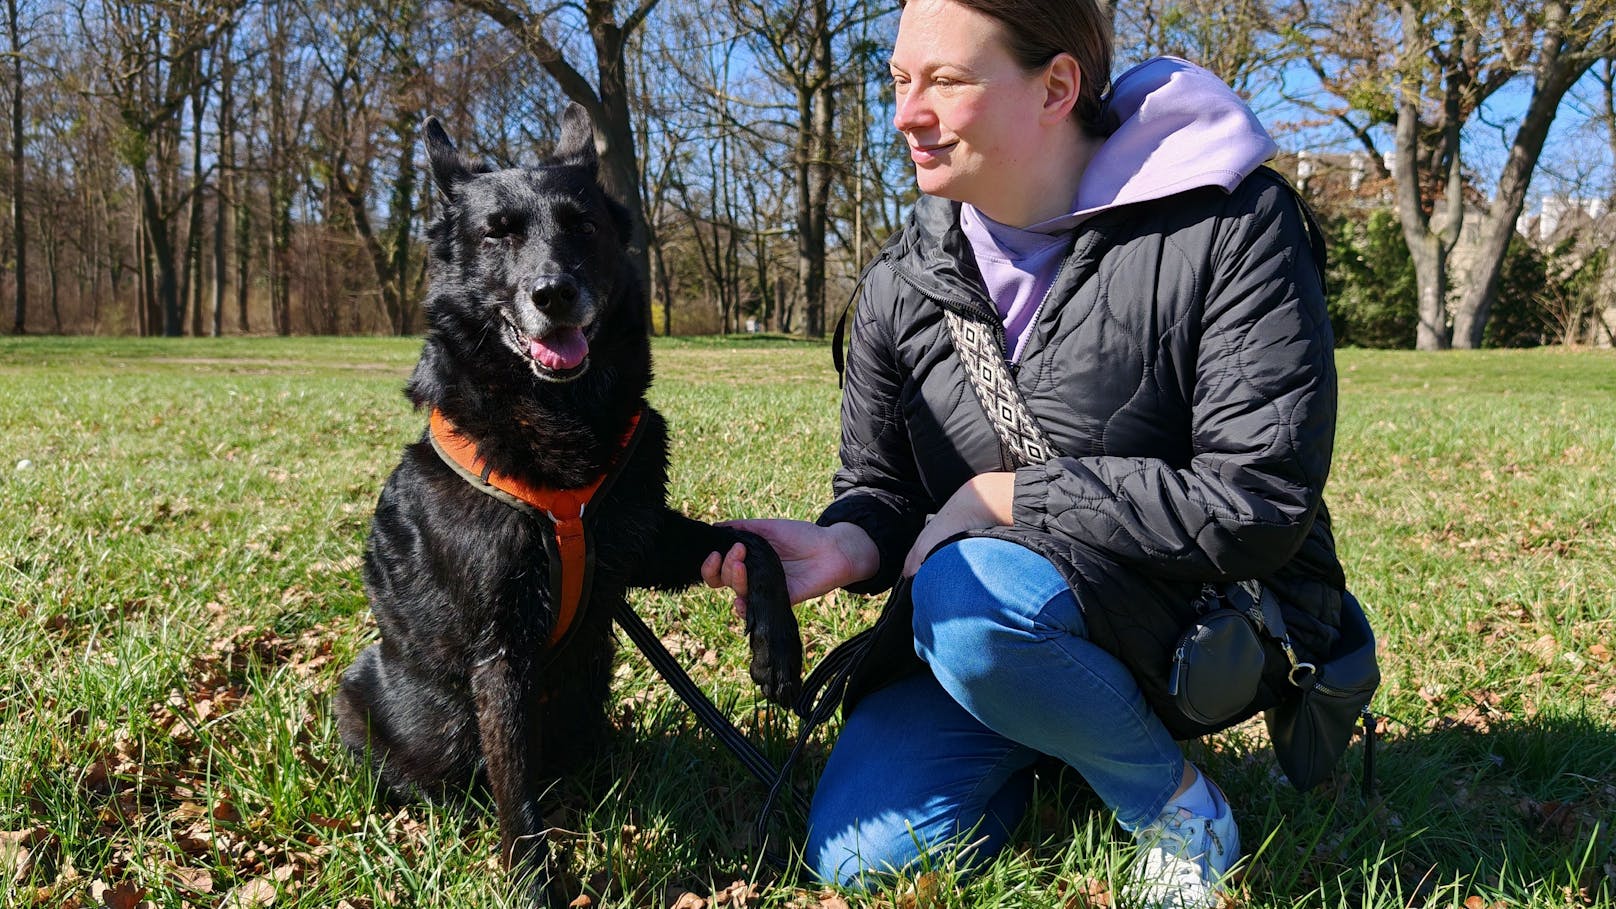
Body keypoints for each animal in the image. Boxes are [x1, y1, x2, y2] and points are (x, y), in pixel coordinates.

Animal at [332, 102, 801, 892]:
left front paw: (779, 650)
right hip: (360, 691)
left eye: (582, 225)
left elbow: (758, 544)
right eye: (498, 232)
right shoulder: (500, 655)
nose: (553, 293)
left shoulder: (639, 542)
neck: (561, 422)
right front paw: (532, 885)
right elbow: (517, 797)